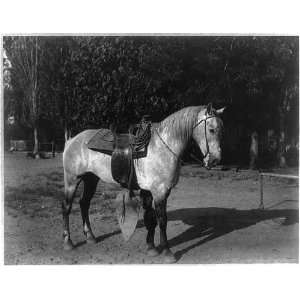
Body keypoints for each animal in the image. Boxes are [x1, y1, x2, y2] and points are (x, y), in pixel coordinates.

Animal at [62, 103, 224, 262]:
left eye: (220, 129)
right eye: (211, 129)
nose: (215, 160)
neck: (162, 147)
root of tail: (71, 140)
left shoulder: (151, 191)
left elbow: (150, 219)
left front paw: (151, 248)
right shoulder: (159, 192)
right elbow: (162, 220)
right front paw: (167, 252)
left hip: (91, 179)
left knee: (84, 203)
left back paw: (90, 237)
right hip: (72, 180)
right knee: (67, 207)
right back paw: (68, 242)